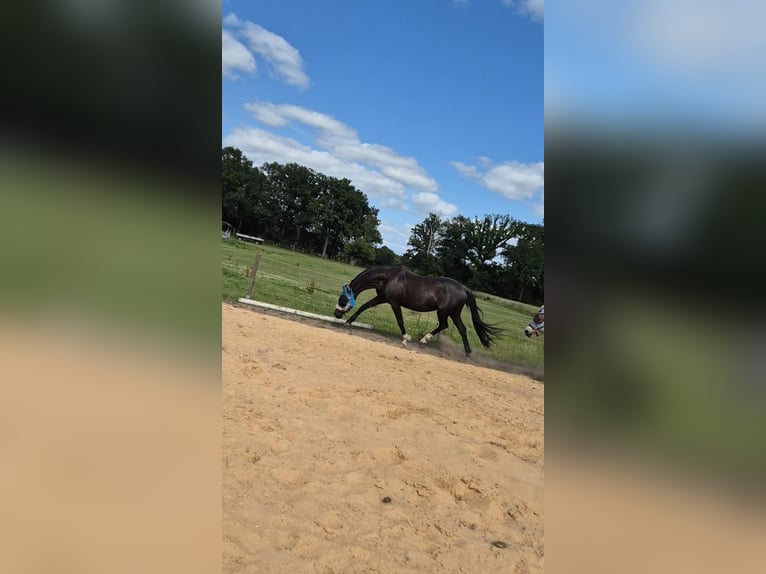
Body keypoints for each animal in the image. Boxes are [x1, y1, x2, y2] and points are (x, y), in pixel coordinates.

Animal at [333, 265, 502, 356]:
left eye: (342, 299)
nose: (336, 314)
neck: (389, 277)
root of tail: (464, 289)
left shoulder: (394, 303)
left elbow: (400, 321)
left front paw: (405, 339)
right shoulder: (382, 298)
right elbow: (364, 306)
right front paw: (348, 322)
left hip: (444, 312)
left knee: (445, 325)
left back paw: (424, 340)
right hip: (453, 313)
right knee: (462, 329)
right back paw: (467, 353)